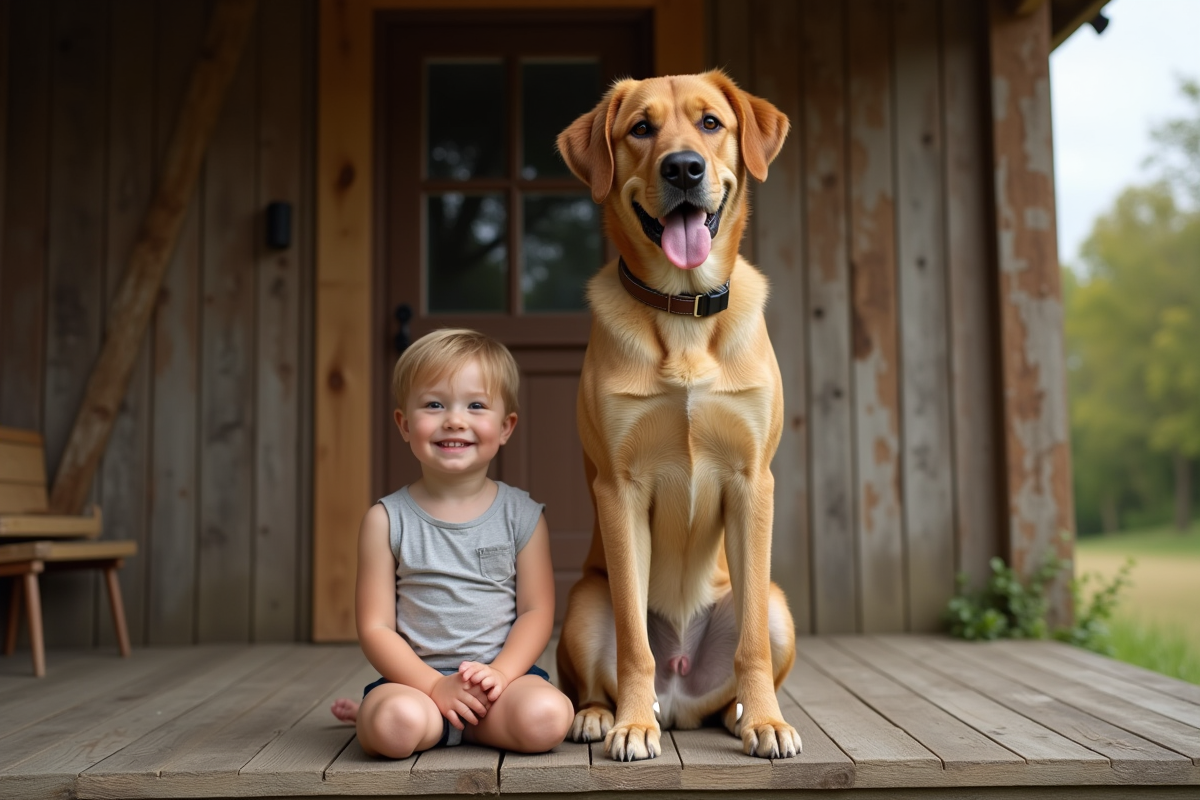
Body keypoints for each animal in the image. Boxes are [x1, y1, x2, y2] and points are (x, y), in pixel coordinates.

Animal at [556, 70, 801, 762]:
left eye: (711, 122)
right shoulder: (619, 488)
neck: (683, 308)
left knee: (739, 666)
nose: (684, 167)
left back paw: (742, 716)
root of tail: (682, 689)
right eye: (641, 128)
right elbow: (633, 644)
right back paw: (600, 715)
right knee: (603, 671)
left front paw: (767, 721)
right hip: (583, 602)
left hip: (778, 605)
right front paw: (633, 725)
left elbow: (749, 642)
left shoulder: (753, 482)